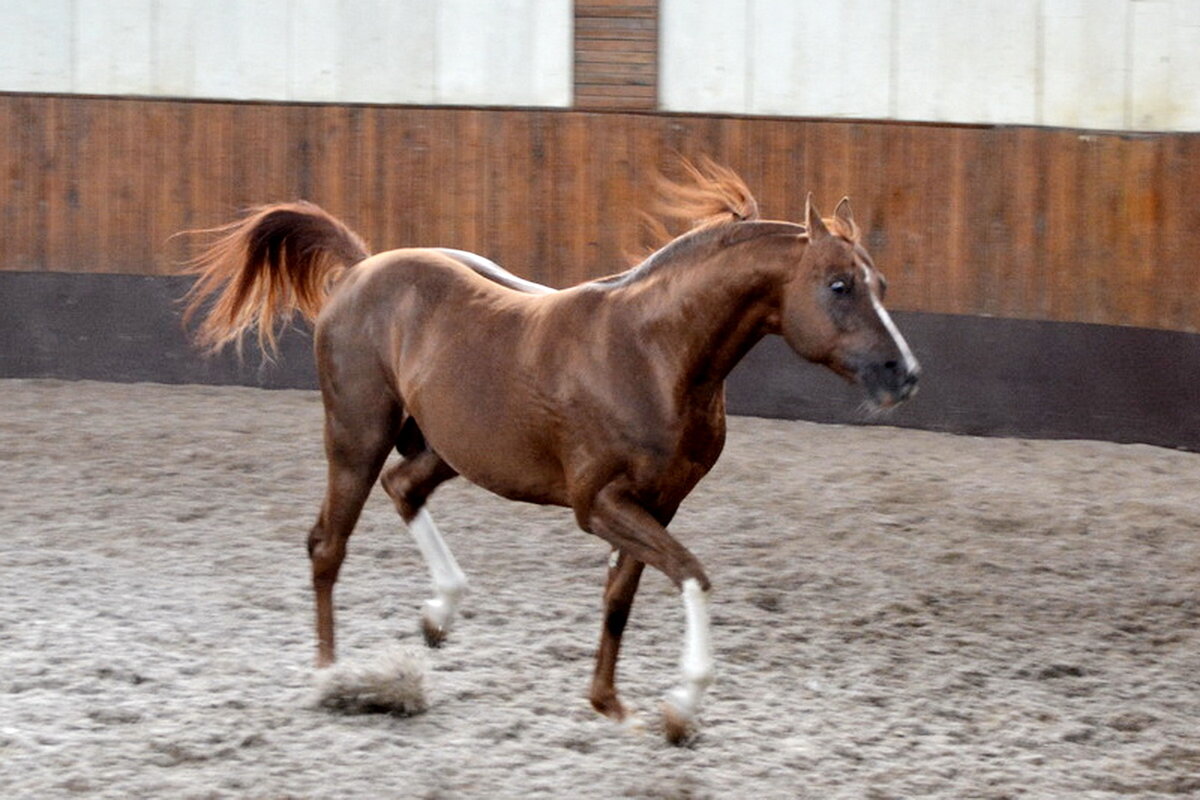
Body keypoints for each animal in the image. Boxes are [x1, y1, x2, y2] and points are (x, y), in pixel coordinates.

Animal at [182, 160, 916, 743]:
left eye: (879, 285)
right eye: (839, 286)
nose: (903, 374)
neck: (652, 355)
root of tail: (361, 267)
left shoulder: (659, 503)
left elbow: (621, 596)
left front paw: (612, 705)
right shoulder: (598, 504)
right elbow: (691, 573)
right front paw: (682, 703)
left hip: (450, 447)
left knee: (403, 489)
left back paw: (438, 614)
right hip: (356, 436)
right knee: (327, 544)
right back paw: (332, 676)